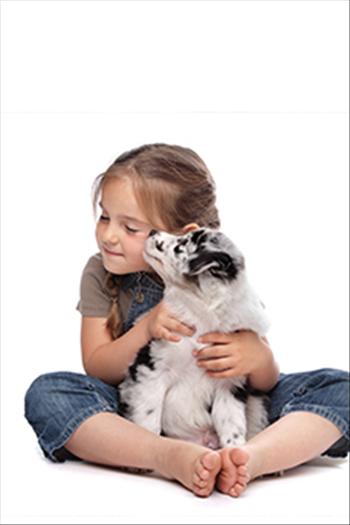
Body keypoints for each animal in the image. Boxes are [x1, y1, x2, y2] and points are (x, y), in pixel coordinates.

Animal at [118, 227, 270, 448]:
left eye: (180, 246)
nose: (152, 231)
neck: (203, 316)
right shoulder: (153, 368)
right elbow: (149, 416)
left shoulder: (230, 382)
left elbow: (232, 424)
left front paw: (235, 450)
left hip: (256, 405)